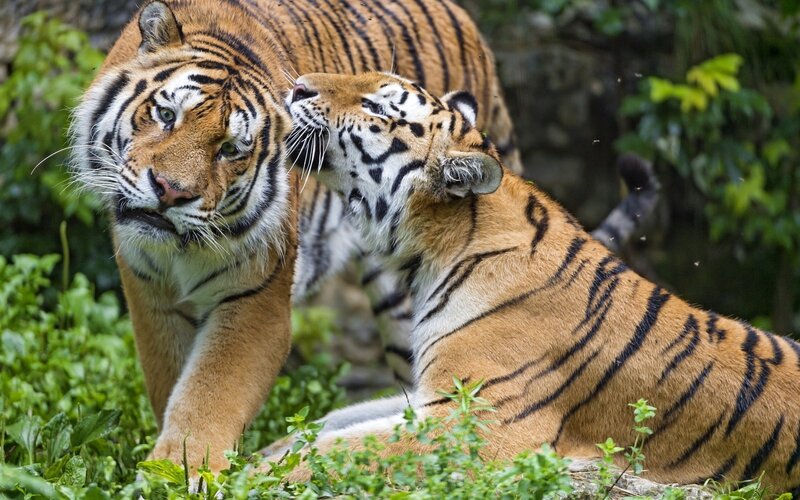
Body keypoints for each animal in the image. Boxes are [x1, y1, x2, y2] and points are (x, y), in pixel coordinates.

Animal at [272, 71, 800, 493]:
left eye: (377, 107)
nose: (297, 86)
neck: (437, 248)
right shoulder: (430, 396)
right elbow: (328, 426)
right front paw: (265, 452)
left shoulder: (477, 419)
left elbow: (344, 449)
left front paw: (264, 474)